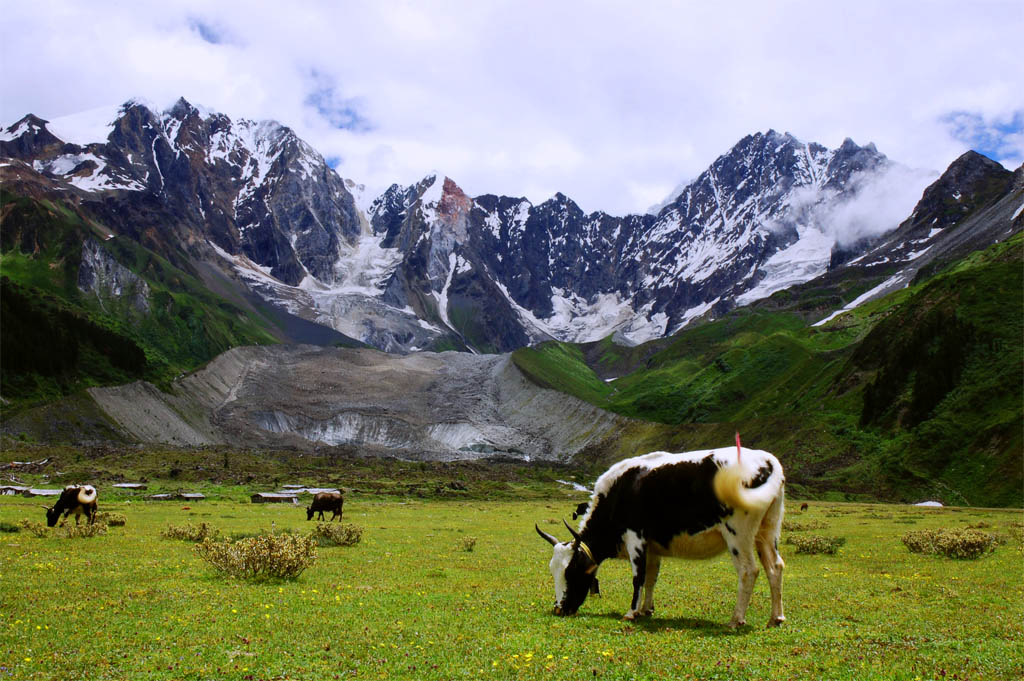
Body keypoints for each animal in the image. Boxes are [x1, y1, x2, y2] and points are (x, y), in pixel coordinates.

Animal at [536, 446, 782, 626]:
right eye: (553, 571)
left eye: (571, 571)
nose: (559, 609)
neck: (618, 492)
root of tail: (768, 460)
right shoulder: (652, 547)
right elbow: (652, 577)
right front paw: (647, 609)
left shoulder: (635, 537)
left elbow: (638, 576)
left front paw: (631, 612)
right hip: (768, 531)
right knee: (775, 567)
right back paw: (776, 619)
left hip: (738, 534)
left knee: (749, 570)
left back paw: (735, 620)